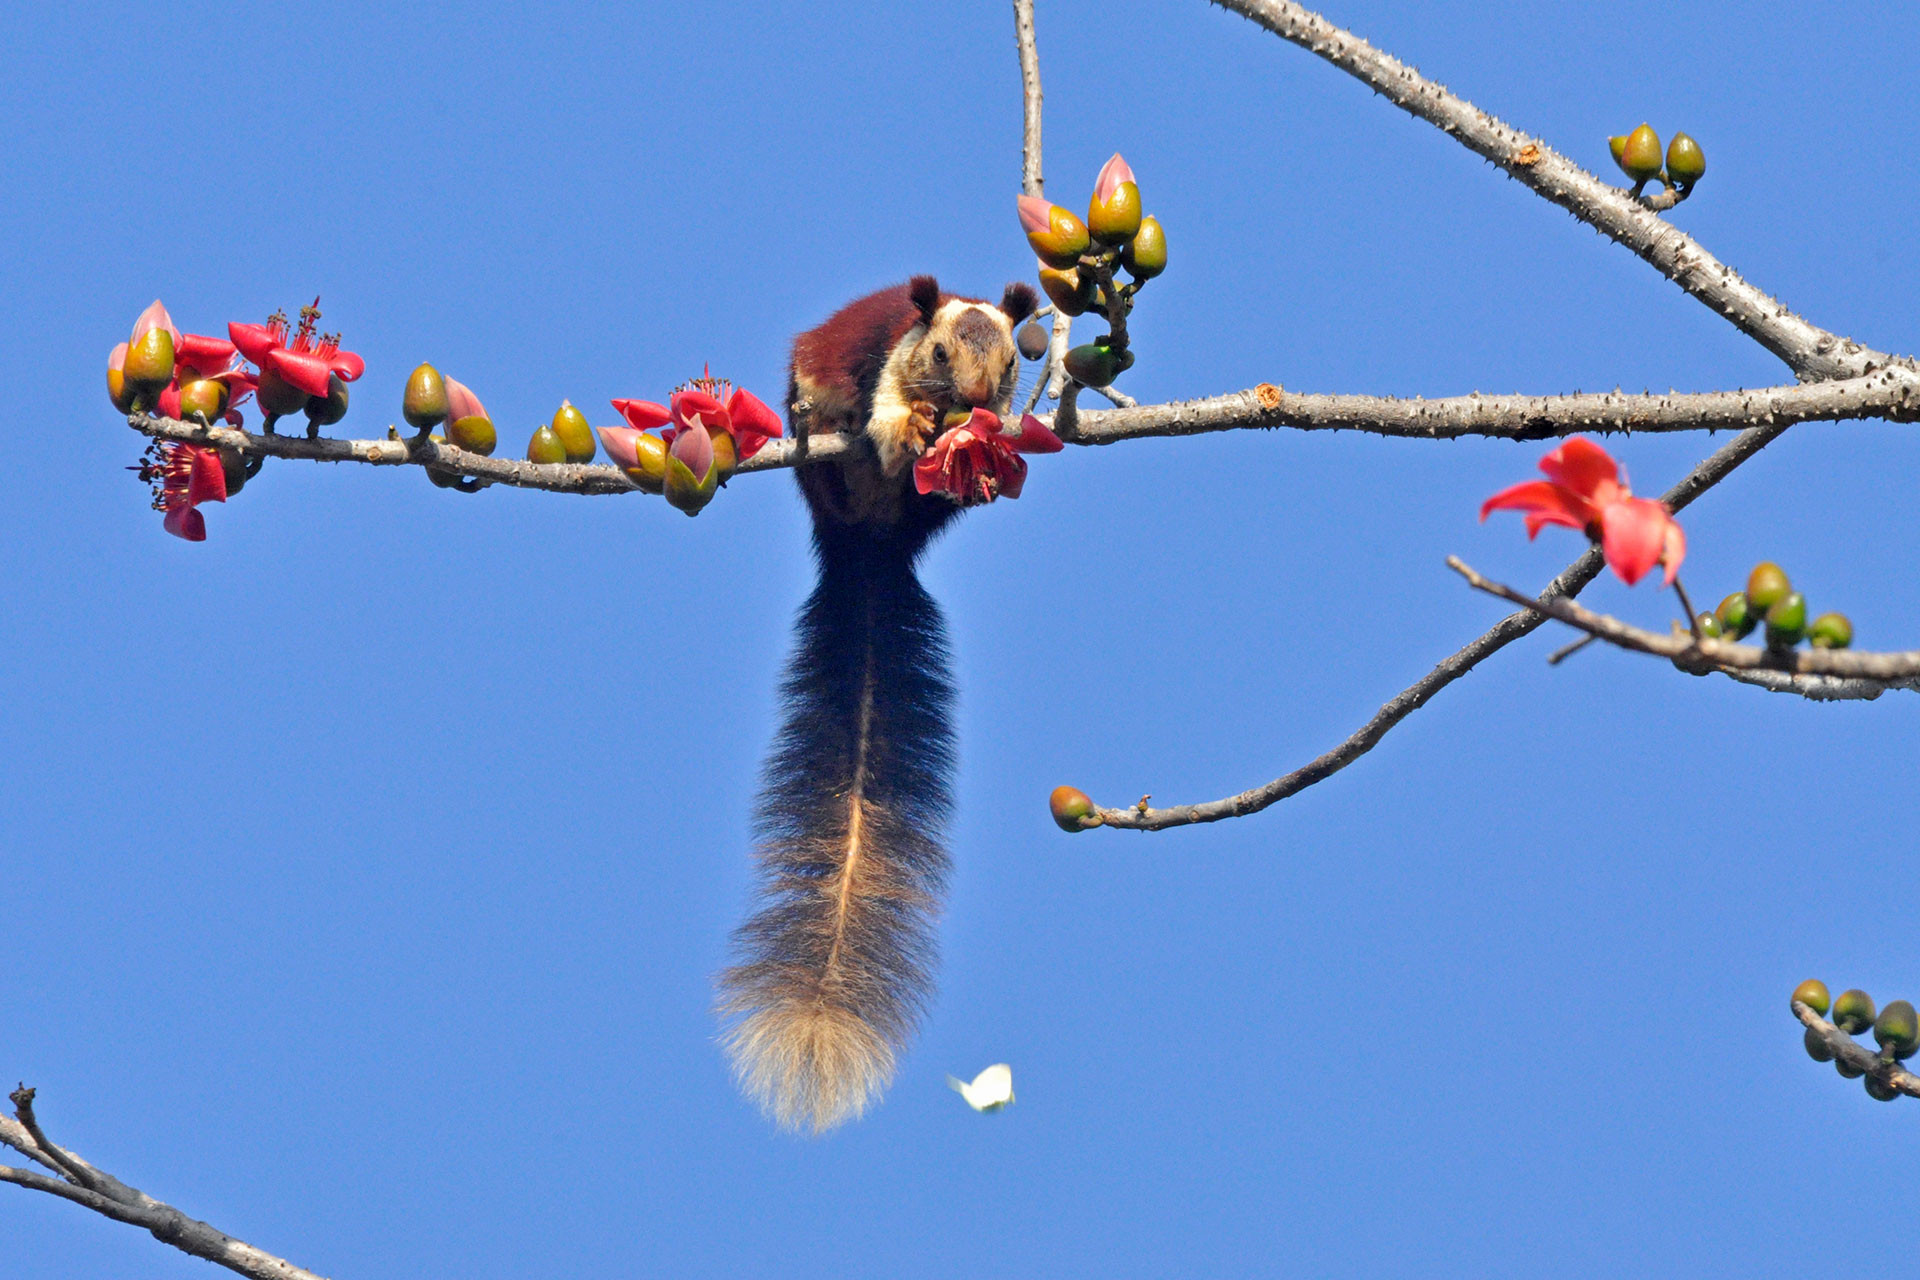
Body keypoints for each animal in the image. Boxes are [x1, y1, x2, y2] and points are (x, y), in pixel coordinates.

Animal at [717, 274, 1039, 1133]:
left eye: (1011, 365)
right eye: (938, 353)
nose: (974, 402)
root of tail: (867, 548)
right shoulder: (882, 366)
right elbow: (889, 423)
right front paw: (914, 427)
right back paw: (816, 425)